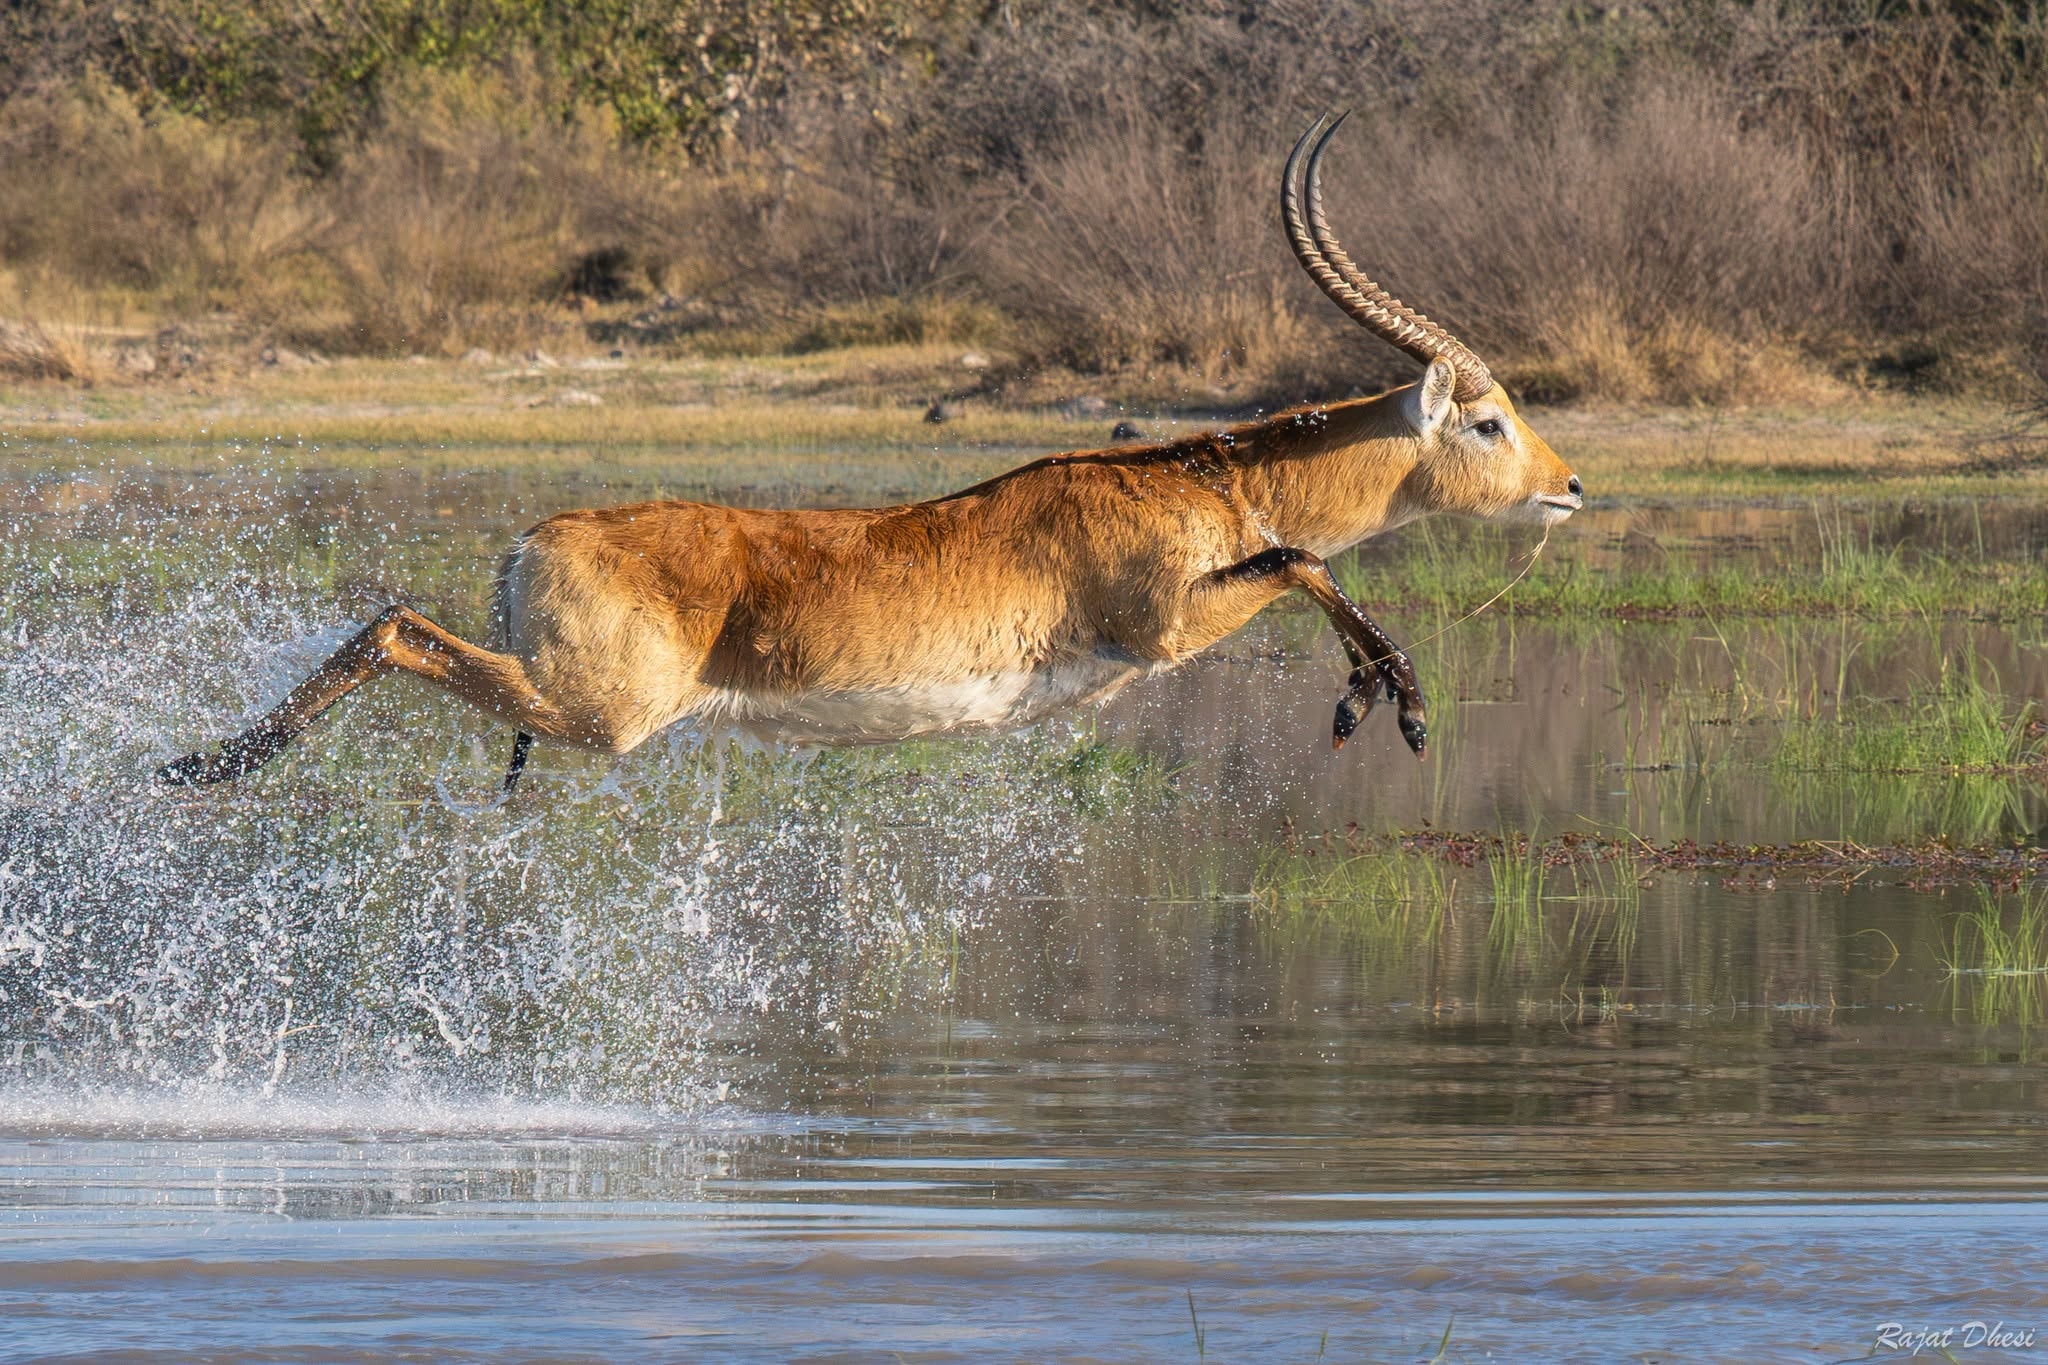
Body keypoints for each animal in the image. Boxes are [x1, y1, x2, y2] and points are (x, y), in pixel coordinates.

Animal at [158, 114, 1582, 792]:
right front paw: (1386, 702)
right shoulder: (1162, 627)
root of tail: (534, 535)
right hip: (599, 712)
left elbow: (1307, 564)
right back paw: (206, 765)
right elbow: (1302, 562)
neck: (1196, 475)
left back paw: (201, 762)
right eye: (1487, 418)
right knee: (392, 624)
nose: (1569, 486)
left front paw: (1370, 696)